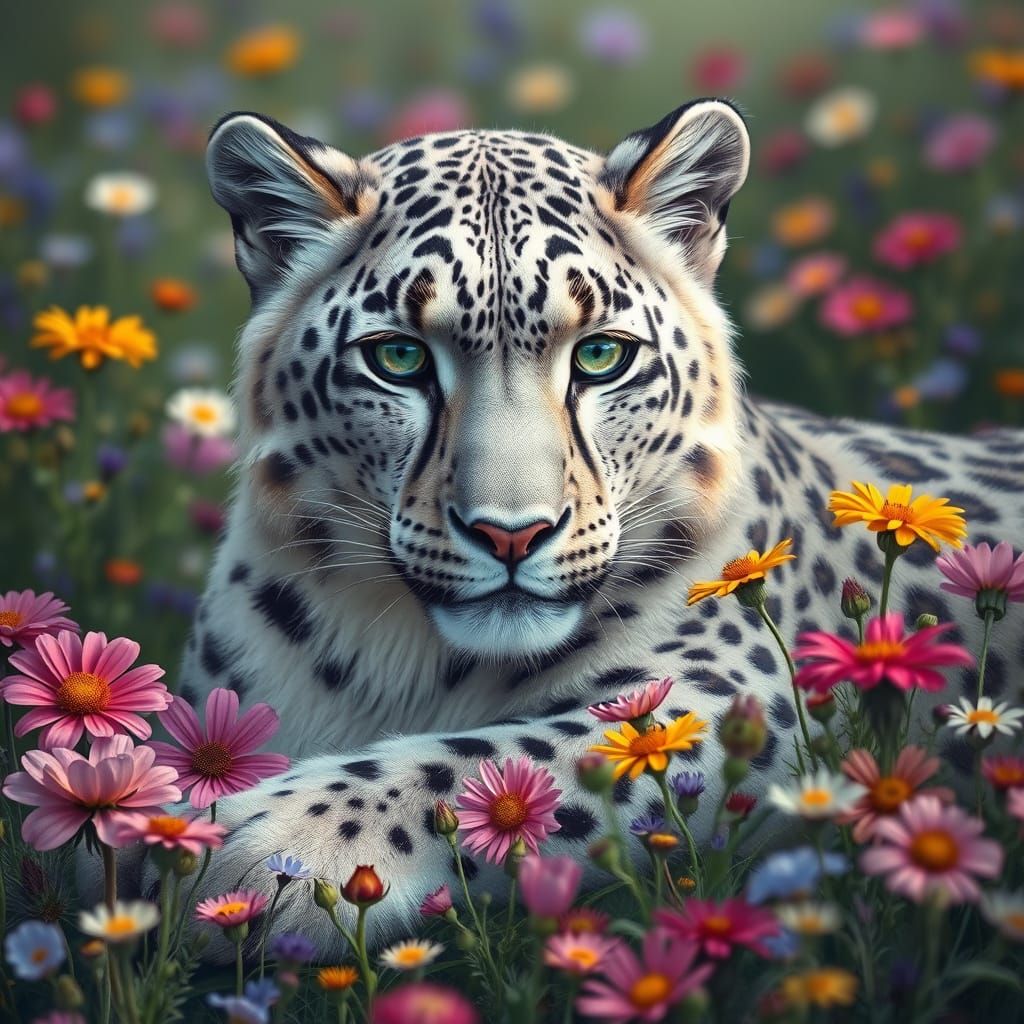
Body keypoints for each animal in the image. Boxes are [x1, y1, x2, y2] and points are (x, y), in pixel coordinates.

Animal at [119, 99, 1024, 954]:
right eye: (399, 359)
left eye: (600, 356)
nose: (511, 534)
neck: (404, 657)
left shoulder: (744, 695)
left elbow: (510, 763)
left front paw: (267, 846)